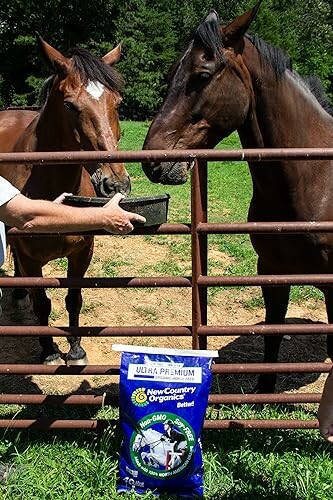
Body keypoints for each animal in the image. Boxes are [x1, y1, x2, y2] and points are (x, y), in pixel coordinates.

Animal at [1, 36, 130, 364]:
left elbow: (74, 300)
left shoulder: (82, 254)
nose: (115, 184)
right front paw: (49, 352)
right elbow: (43, 304)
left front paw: (75, 350)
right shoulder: (32, 260)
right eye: (70, 105)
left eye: (117, 103)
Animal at [143, 4, 333, 394]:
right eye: (170, 74)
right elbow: (272, 333)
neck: (314, 175)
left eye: (201, 75)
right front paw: (263, 394)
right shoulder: (272, 270)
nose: (152, 161)